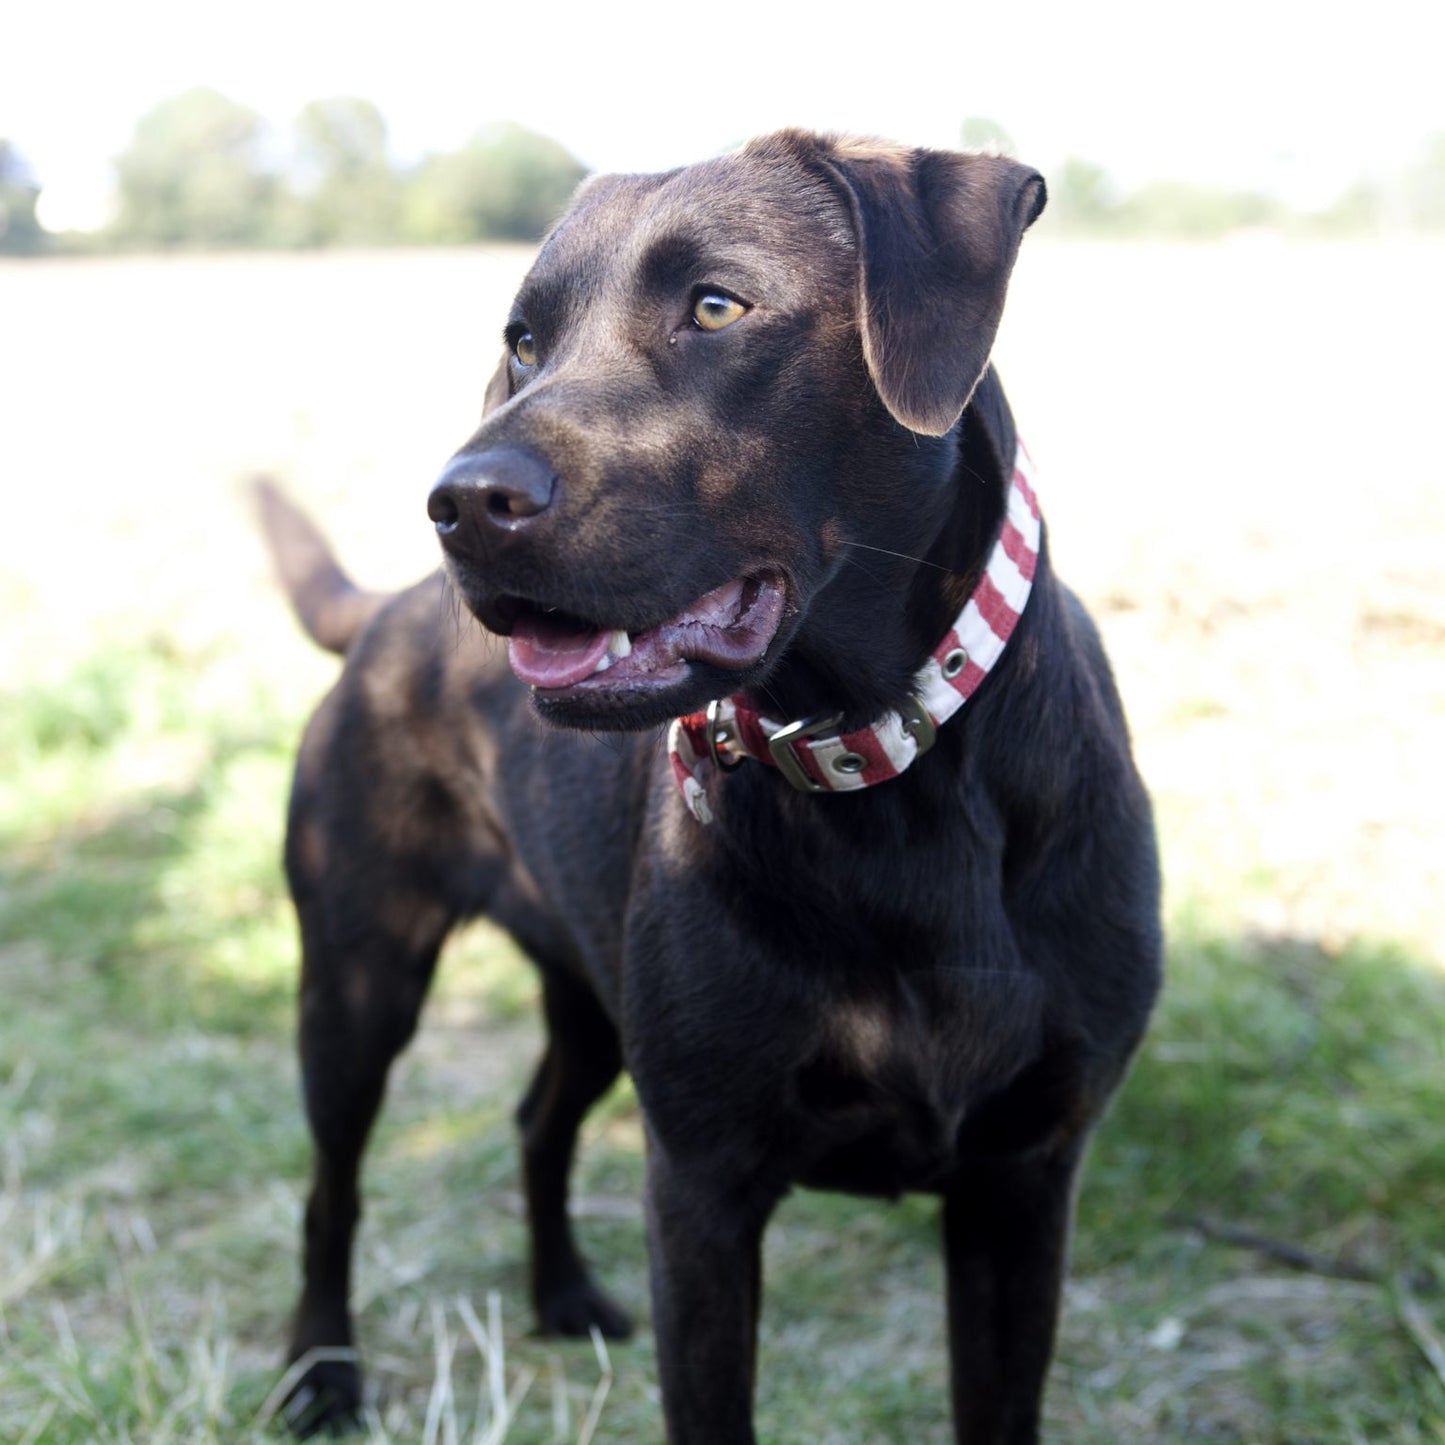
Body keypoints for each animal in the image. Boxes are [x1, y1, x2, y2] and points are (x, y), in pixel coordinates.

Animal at [260, 130, 1161, 1439]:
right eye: (522, 338)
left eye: (716, 307)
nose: (460, 502)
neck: (884, 777)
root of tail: (385, 609)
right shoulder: (701, 1188)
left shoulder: (1021, 1182)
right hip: (356, 980)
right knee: (332, 1187)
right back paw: (321, 1373)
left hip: (586, 988)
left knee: (536, 1120)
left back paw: (561, 1293)